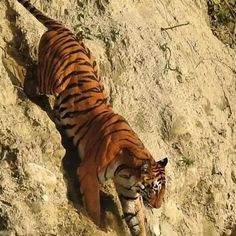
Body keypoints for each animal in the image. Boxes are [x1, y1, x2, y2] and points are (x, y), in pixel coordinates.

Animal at [14, 0, 169, 235]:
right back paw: (27, 90)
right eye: (155, 188)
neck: (129, 170)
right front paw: (97, 225)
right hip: (52, 80)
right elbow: (94, 207)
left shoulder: (130, 193)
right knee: (32, 71)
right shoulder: (88, 172)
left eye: (163, 190)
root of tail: (66, 30)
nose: (159, 206)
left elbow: (137, 221)